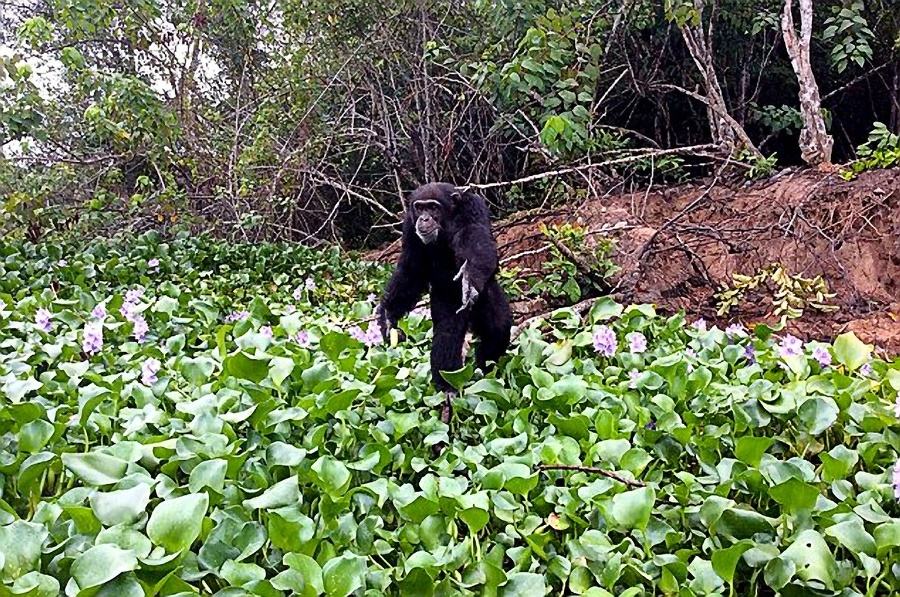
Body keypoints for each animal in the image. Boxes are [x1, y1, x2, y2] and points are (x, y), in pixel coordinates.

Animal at [374, 182, 512, 420]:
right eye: (420, 208)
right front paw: (389, 316)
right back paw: (448, 386)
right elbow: (412, 269)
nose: (424, 218)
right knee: (449, 331)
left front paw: (469, 278)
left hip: (487, 295)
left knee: (499, 328)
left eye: (433, 207)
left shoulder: (473, 209)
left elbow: (474, 236)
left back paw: (486, 370)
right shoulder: (409, 227)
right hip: (446, 299)